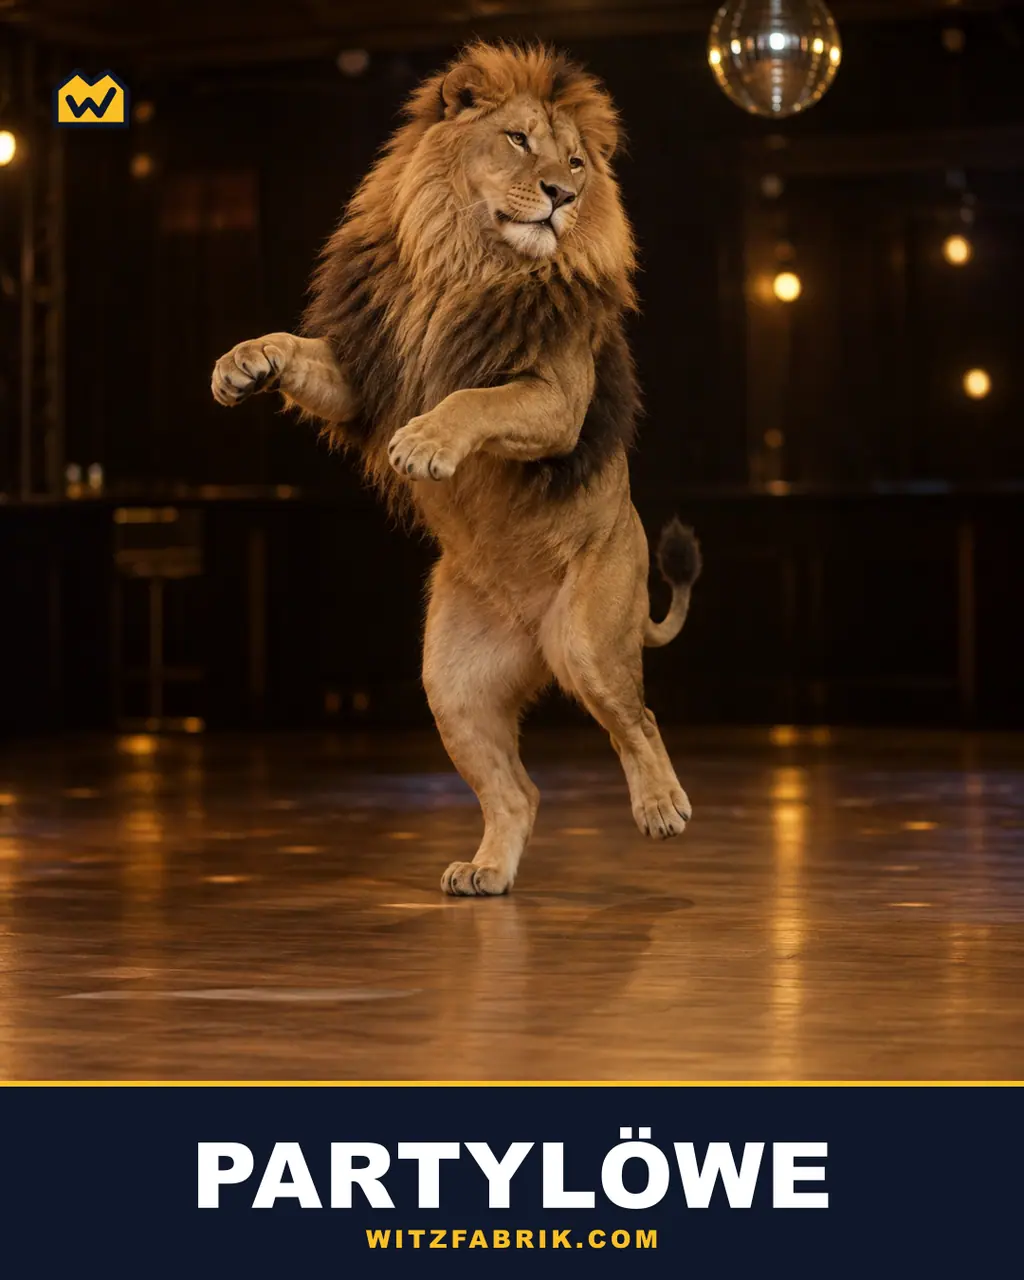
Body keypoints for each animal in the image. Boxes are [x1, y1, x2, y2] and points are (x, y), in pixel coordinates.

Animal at [211, 41, 702, 896]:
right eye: (518, 141)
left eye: (577, 161)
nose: (562, 195)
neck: (467, 258)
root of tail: (534, 634)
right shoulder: (363, 373)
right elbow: (295, 350)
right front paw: (242, 364)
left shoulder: (557, 400)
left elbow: (474, 399)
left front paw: (425, 445)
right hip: (452, 688)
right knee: (520, 790)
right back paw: (487, 872)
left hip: (590, 640)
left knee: (635, 718)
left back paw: (662, 807)